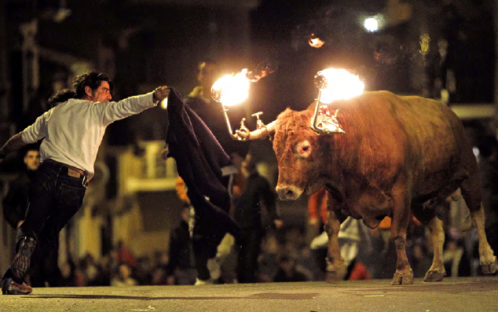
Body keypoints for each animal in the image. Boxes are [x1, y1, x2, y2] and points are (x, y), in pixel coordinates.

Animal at [241, 91, 498, 286]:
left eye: (304, 147)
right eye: (275, 148)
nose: (284, 190)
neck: (356, 142)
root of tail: (451, 115)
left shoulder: (401, 197)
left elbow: (398, 235)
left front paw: (403, 273)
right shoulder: (337, 198)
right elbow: (331, 228)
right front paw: (335, 266)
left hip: (469, 176)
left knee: (478, 215)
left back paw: (487, 260)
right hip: (421, 201)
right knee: (437, 228)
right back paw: (435, 270)